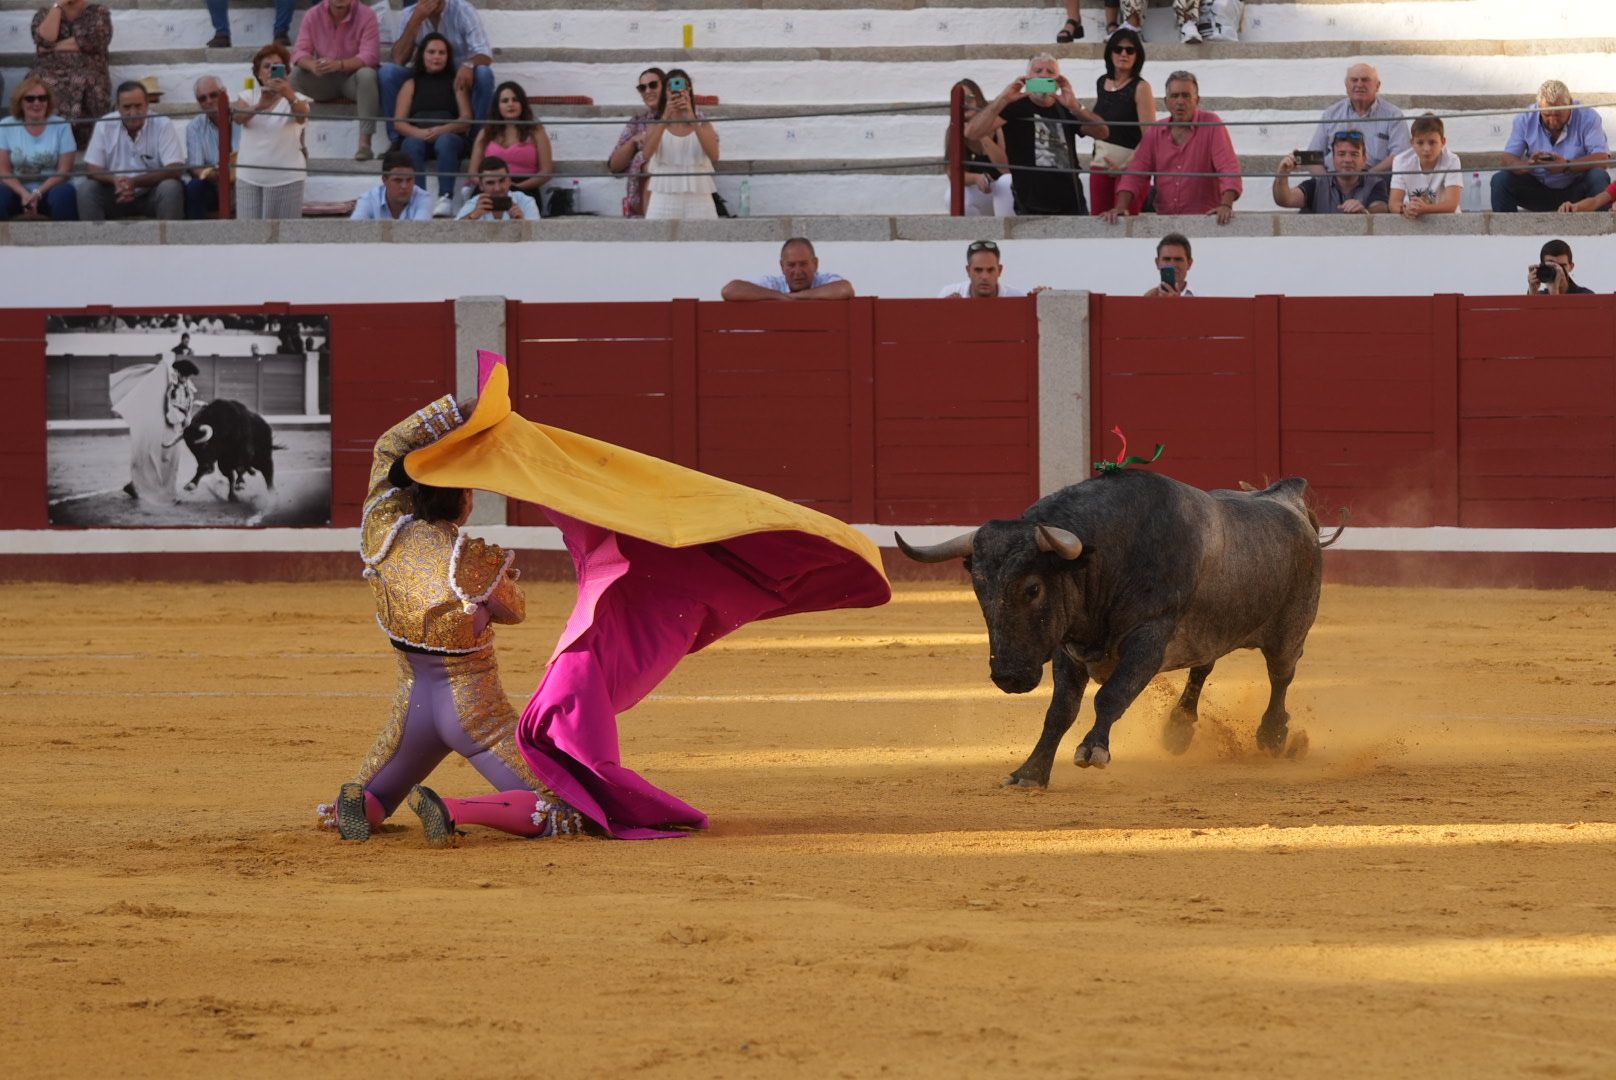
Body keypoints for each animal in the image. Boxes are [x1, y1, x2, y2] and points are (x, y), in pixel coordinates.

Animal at [904, 468, 1344, 785]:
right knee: (1204, 666)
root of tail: (1286, 496)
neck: (1108, 556)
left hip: (1291, 630)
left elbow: (1112, 695)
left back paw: (1273, 736)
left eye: (1032, 588)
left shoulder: (1149, 638)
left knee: (1280, 677)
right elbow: (1060, 710)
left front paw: (1093, 749)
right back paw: (1179, 729)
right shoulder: (1069, 648)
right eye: (979, 587)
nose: (1009, 676)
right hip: (1210, 631)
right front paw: (1030, 772)